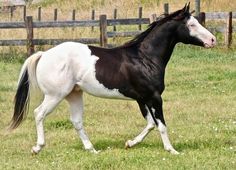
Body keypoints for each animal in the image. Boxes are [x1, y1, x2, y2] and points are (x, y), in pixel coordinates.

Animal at [9, 3, 216, 155]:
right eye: (191, 25)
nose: (213, 40)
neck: (144, 58)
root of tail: (44, 55)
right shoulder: (154, 98)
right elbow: (161, 125)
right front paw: (172, 150)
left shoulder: (142, 99)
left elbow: (150, 124)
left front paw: (129, 143)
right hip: (55, 95)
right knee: (39, 113)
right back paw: (37, 148)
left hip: (74, 94)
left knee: (76, 121)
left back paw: (92, 150)